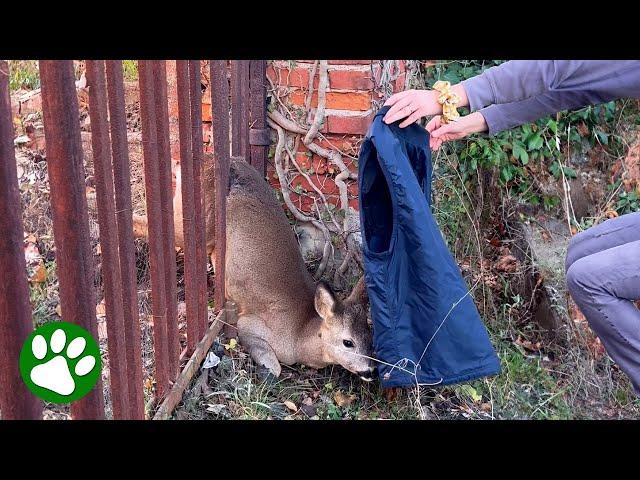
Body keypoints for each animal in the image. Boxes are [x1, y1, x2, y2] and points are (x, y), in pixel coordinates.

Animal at [133, 156, 378, 380]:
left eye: (369, 335)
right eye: (348, 342)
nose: (370, 370)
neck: (300, 333)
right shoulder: (251, 324)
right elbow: (273, 365)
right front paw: (266, 369)